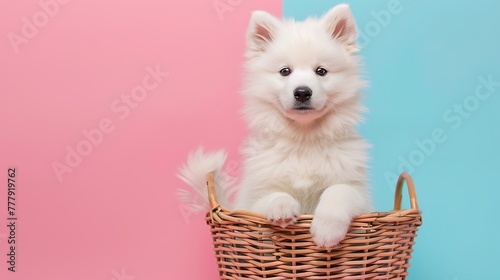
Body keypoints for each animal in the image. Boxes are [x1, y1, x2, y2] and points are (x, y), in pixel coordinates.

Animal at [179, 3, 372, 247]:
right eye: (284, 71)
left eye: (321, 71)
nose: (302, 92)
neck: (304, 138)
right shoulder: (252, 201)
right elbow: (272, 196)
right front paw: (282, 208)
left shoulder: (360, 194)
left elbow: (339, 190)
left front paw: (327, 229)